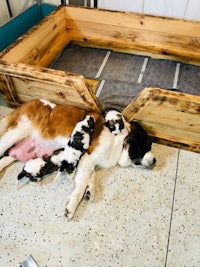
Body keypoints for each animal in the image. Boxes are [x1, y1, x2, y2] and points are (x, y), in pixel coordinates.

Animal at [0, 99, 156, 220]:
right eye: (147, 145)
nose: (155, 160)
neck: (120, 139)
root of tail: (28, 103)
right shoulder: (88, 156)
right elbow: (81, 185)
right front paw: (72, 205)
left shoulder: (89, 161)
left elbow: (91, 176)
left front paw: (90, 189)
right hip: (13, 135)